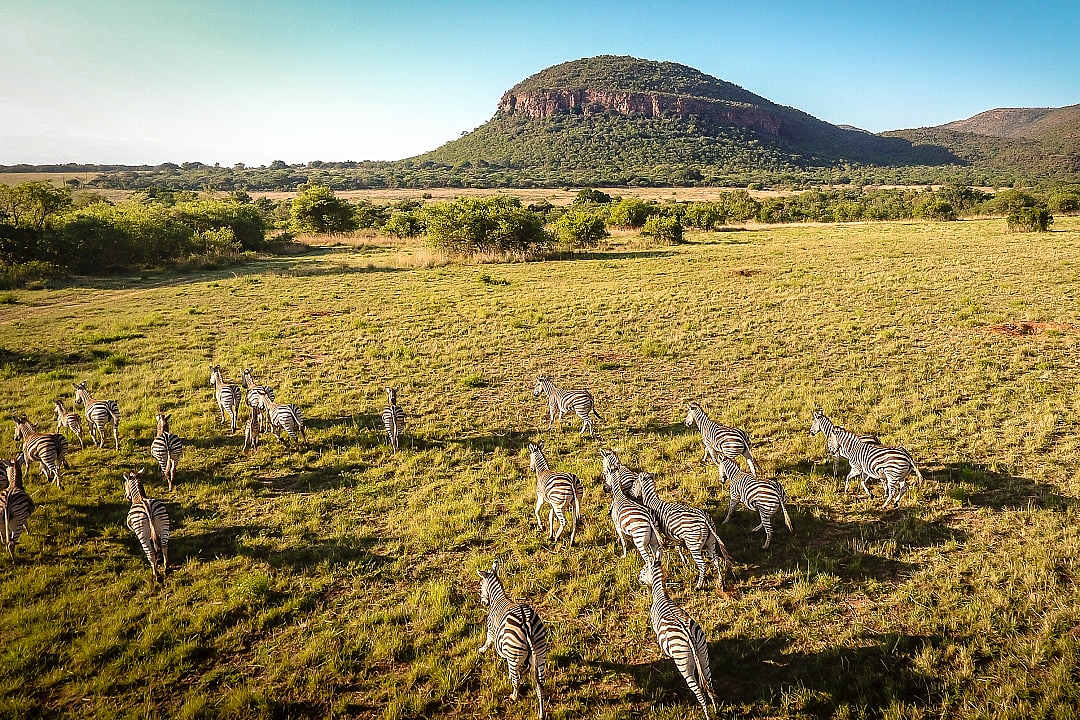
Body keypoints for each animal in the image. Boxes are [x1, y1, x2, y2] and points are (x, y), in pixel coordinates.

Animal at [477, 559, 549, 720]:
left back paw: (514, 697)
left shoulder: (491, 629)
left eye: (480, 587)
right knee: (540, 684)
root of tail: (527, 624)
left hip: (514, 655)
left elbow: (488, 640)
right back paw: (541, 713)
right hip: (540, 652)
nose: (483, 603)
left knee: (516, 680)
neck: (498, 598)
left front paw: (482, 650)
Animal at [639, 559, 719, 717]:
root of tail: (689, 636)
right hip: (703, 654)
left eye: (644, 570)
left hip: (683, 664)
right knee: (709, 683)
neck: (661, 594)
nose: (638, 578)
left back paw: (707, 714)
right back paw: (715, 709)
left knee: (698, 692)